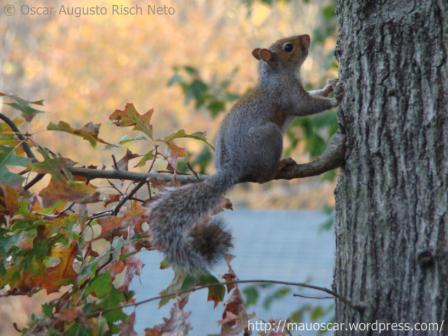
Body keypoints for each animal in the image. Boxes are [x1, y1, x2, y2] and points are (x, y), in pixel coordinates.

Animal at [149, 33, 344, 276]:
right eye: (288, 47)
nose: (306, 36)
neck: (277, 75)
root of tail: (232, 166)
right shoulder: (286, 94)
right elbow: (305, 105)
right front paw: (335, 100)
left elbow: (313, 94)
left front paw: (329, 86)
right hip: (270, 136)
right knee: (263, 177)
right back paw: (281, 165)